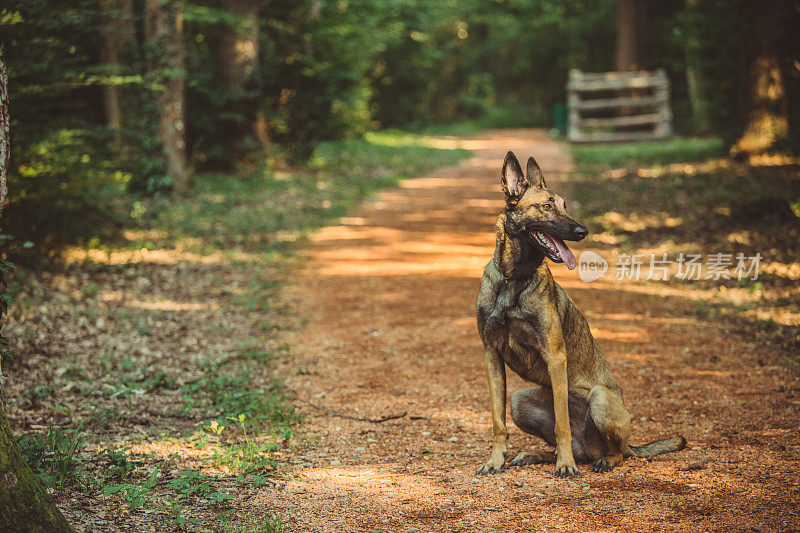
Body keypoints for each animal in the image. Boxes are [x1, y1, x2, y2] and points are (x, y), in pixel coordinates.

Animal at [476, 152, 688, 476]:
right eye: (547, 206)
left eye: (566, 206)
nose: (582, 231)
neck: (514, 279)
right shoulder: (492, 356)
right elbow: (498, 422)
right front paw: (495, 460)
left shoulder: (554, 356)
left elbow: (562, 423)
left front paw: (565, 465)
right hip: (519, 400)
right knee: (573, 446)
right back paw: (539, 455)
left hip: (600, 399)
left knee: (619, 452)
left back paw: (597, 459)